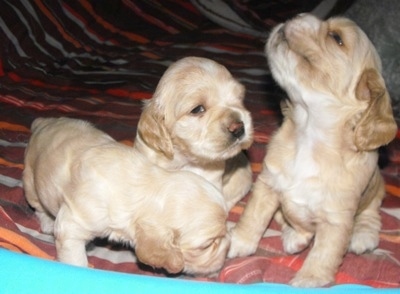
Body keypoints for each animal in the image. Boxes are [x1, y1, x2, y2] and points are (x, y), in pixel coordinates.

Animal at [24, 116, 231, 276]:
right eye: (206, 246)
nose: (228, 250)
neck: (144, 187)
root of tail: (44, 122)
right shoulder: (72, 224)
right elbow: (75, 257)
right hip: (31, 182)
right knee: (38, 206)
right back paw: (47, 222)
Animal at [228, 13, 396, 288]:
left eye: (337, 38)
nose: (297, 15)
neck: (309, 133)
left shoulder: (337, 219)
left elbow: (325, 253)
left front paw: (310, 280)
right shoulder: (267, 185)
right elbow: (253, 217)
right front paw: (237, 242)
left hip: (376, 190)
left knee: (371, 215)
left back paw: (363, 235)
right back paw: (294, 236)